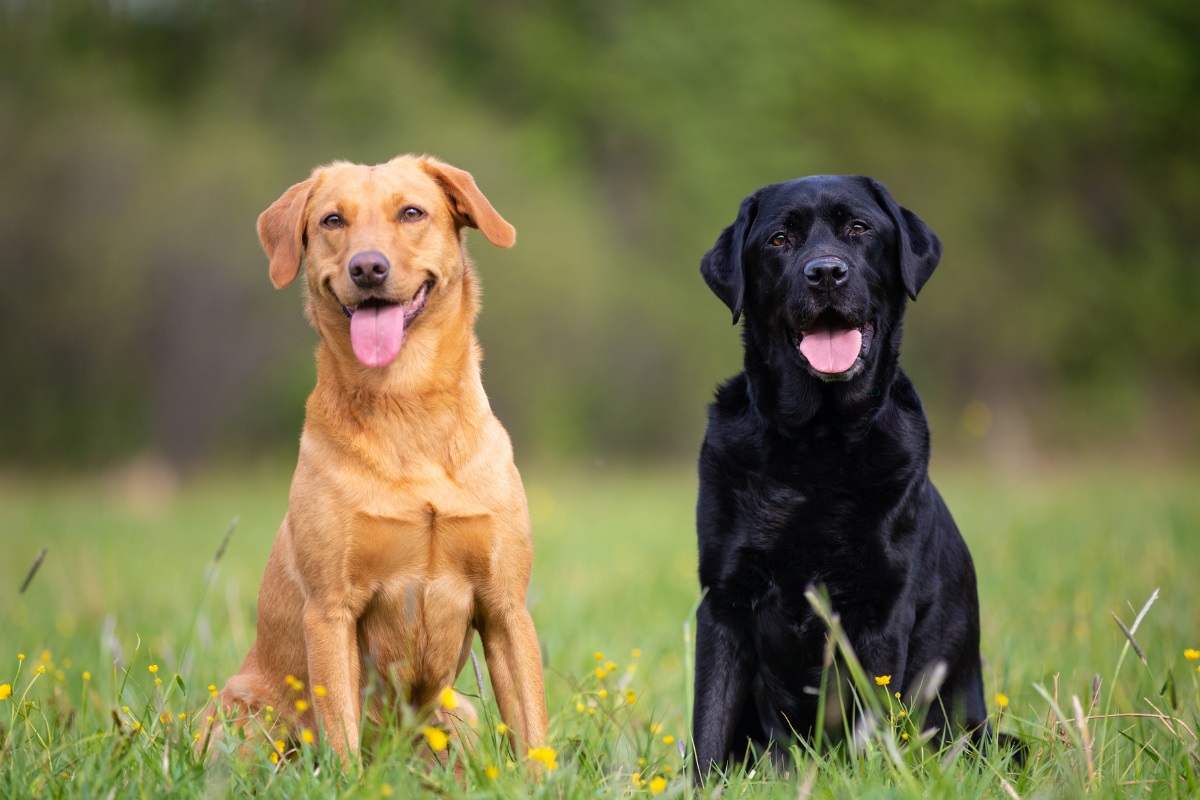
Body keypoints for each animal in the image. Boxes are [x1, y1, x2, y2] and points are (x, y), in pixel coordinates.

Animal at [216, 154, 549, 762]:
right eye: (332, 220)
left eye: (411, 212)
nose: (367, 267)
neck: (406, 403)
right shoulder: (331, 609)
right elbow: (342, 736)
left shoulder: (506, 606)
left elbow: (532, 729)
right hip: (243, 714)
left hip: (458, 715)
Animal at [696, 173, 993, 777]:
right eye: (779, 239)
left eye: (859, 228)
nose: (827, 272)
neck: (817, 443)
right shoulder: (723, 602)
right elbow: (708, 728)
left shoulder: (880, 608)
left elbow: (868, 721)